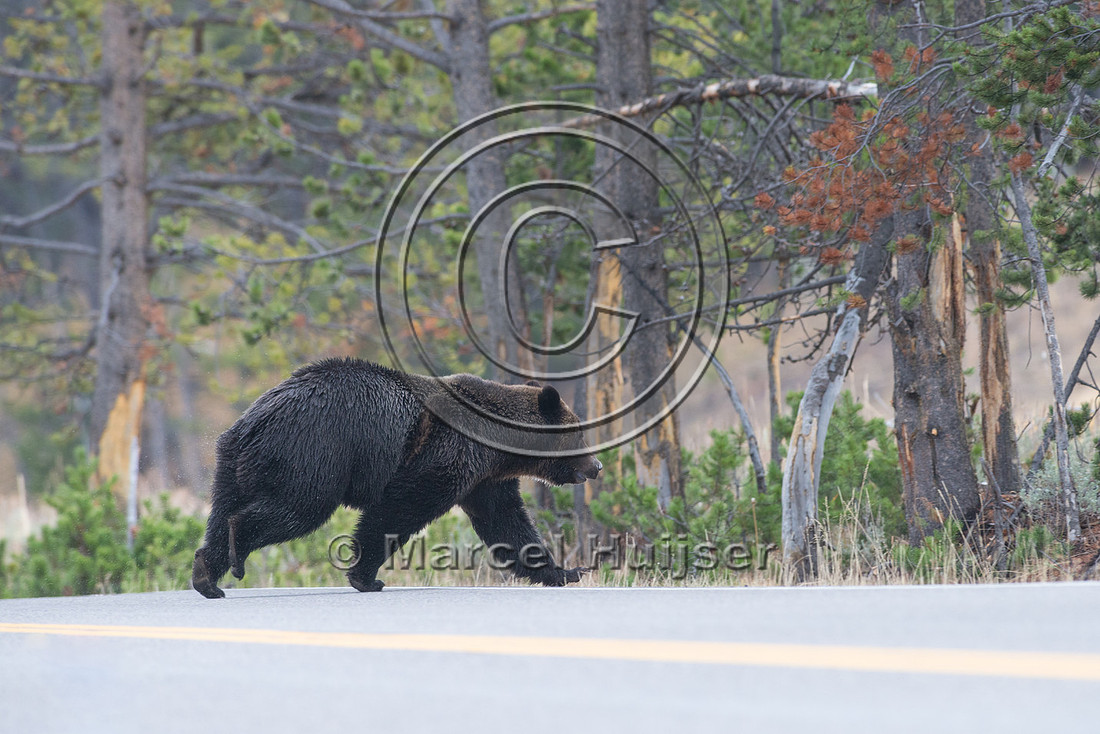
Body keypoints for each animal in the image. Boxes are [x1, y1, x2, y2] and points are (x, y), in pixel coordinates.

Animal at [191, 357, 602, 598]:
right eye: (579, 433)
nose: (596, 467)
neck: (497, 444)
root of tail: (255, 420)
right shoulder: (444, 455)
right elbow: (399, 510)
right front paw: (367, 577)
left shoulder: (485, 480)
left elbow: (506, 523)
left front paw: (566, 570)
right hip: (313, 453)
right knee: (296, 509)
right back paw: (236, 553)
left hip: (232, 463)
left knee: (221, 511)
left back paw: (207, 577)